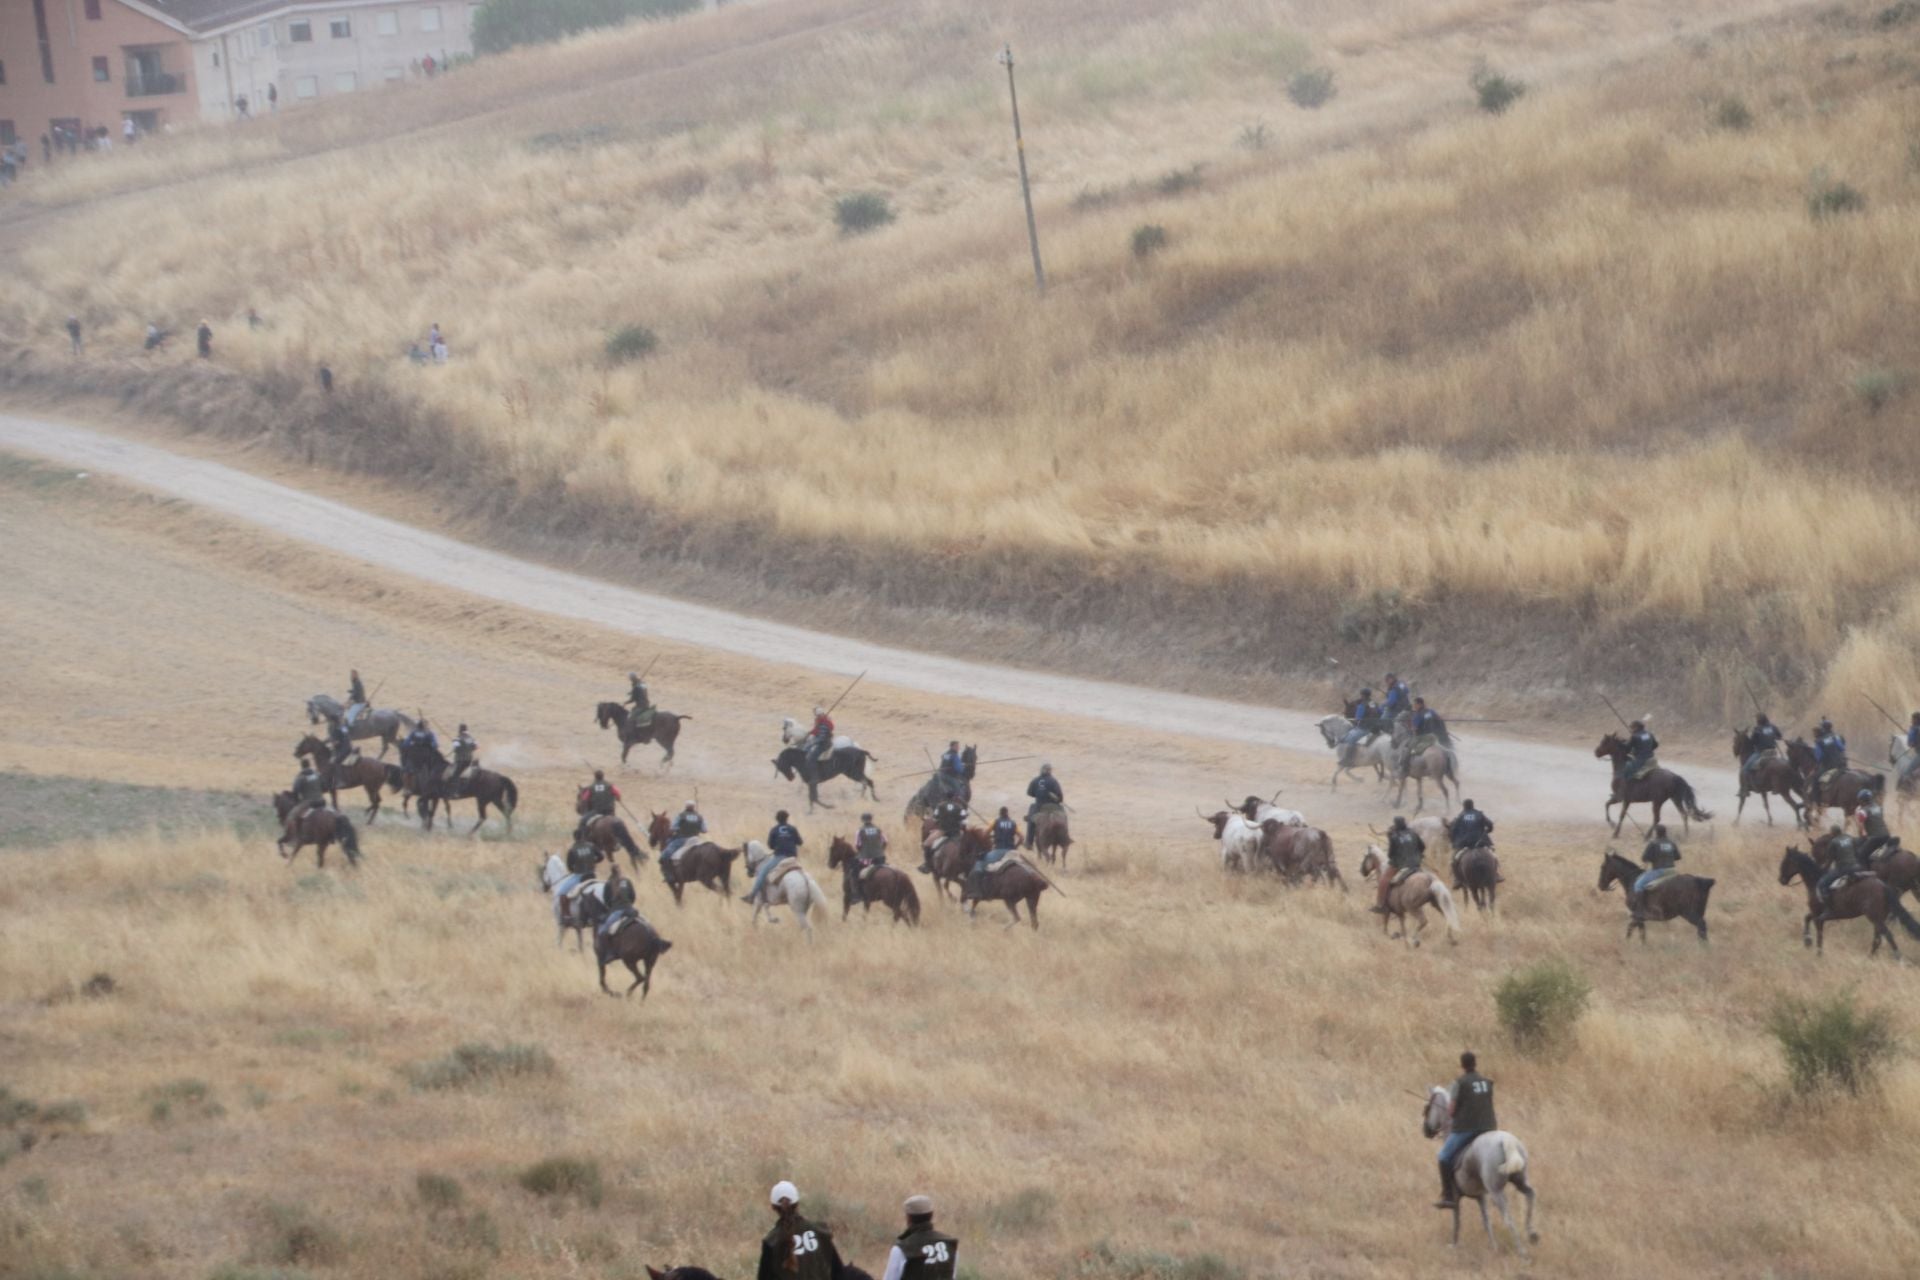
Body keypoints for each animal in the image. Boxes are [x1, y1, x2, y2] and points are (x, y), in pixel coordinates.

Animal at [1420, 1090, 1536, 1258]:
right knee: (1530, 1195)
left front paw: (1453, 1245)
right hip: (1520, 1181)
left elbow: (1457, 1220)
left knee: (1508, 1218)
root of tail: (1506, 1141)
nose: (1426, 1130)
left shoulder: (1456, 1195)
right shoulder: (1481, 1196)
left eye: (1427, 1108)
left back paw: (1522, 1252)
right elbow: (1486, 1221)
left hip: (1496, 1191)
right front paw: (1493, 1247)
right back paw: (1532, 1234)